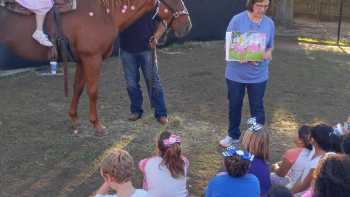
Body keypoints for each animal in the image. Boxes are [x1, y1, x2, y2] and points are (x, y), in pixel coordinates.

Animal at [0, 0, 191, 135]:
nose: (187, 25)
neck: (103, 13)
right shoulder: (92, 58)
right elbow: (93, 91)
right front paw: (97, 125)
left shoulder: (82, 60)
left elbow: (78, 88)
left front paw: (74, 119)